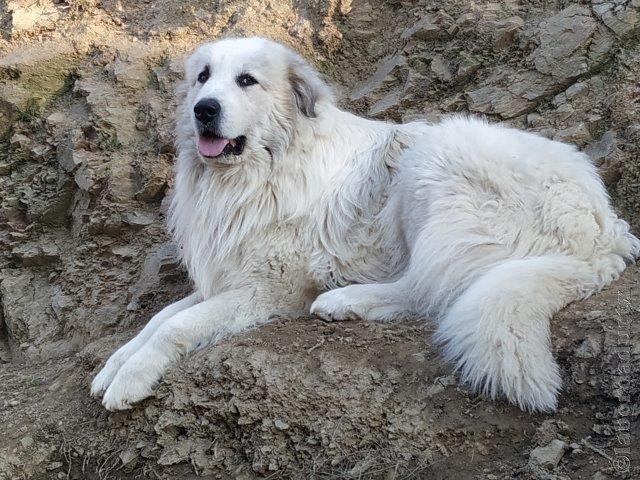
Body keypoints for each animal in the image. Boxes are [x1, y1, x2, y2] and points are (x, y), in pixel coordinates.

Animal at [91, 37, 640, 412]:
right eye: (203, 77)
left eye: (246, 80)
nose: (204, 109)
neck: (262, 170)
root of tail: (605, 228)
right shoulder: (226, 277)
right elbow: (157, 318)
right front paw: (113, 366)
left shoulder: (265, 290)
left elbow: (174, 327)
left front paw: (131, 378)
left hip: (433, 162)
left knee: (426, 287)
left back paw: (345, 300)